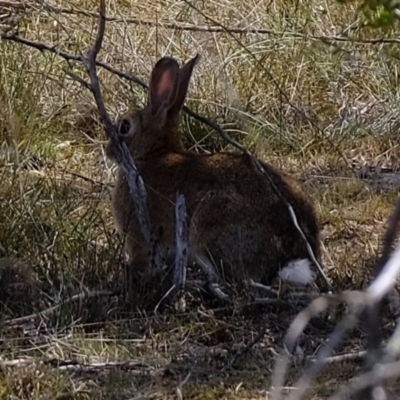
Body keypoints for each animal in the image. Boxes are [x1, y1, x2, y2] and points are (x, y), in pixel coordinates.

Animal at [104, 54, 320, 290]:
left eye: (125, 126)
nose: (108, 149)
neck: (152, 154)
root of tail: (292, 253)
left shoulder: (139, 237)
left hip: (209, 222)